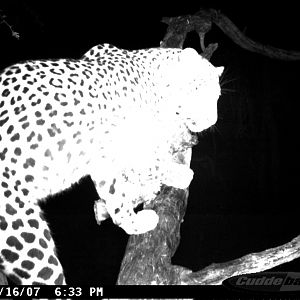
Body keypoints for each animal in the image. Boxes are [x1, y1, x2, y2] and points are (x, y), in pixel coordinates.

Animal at [0, 43, 223, 284]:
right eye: (200, 91)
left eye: (217, 96)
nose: (212, 121)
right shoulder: (125, 141)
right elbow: (150, 162)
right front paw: (177, 173)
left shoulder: (104, 156)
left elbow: (115, 193)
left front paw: (131, 222)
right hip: (22, 228)